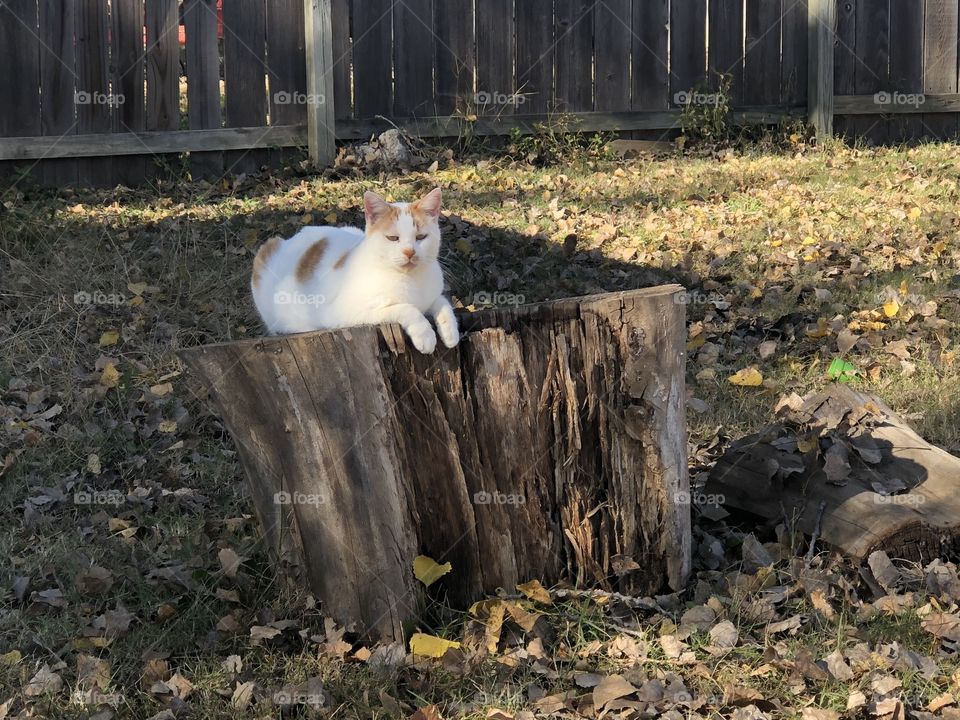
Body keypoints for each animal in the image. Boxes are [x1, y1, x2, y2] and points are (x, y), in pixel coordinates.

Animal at [248, 187, 458, 352]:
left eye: (421, 237)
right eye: (393, 238)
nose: (409, 252)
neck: (411, 280)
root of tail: (290, 239)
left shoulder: (432, 295)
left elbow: (443, 303)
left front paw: (450, 332)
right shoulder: (345, 314)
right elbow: (406, 308)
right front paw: (425, 335)